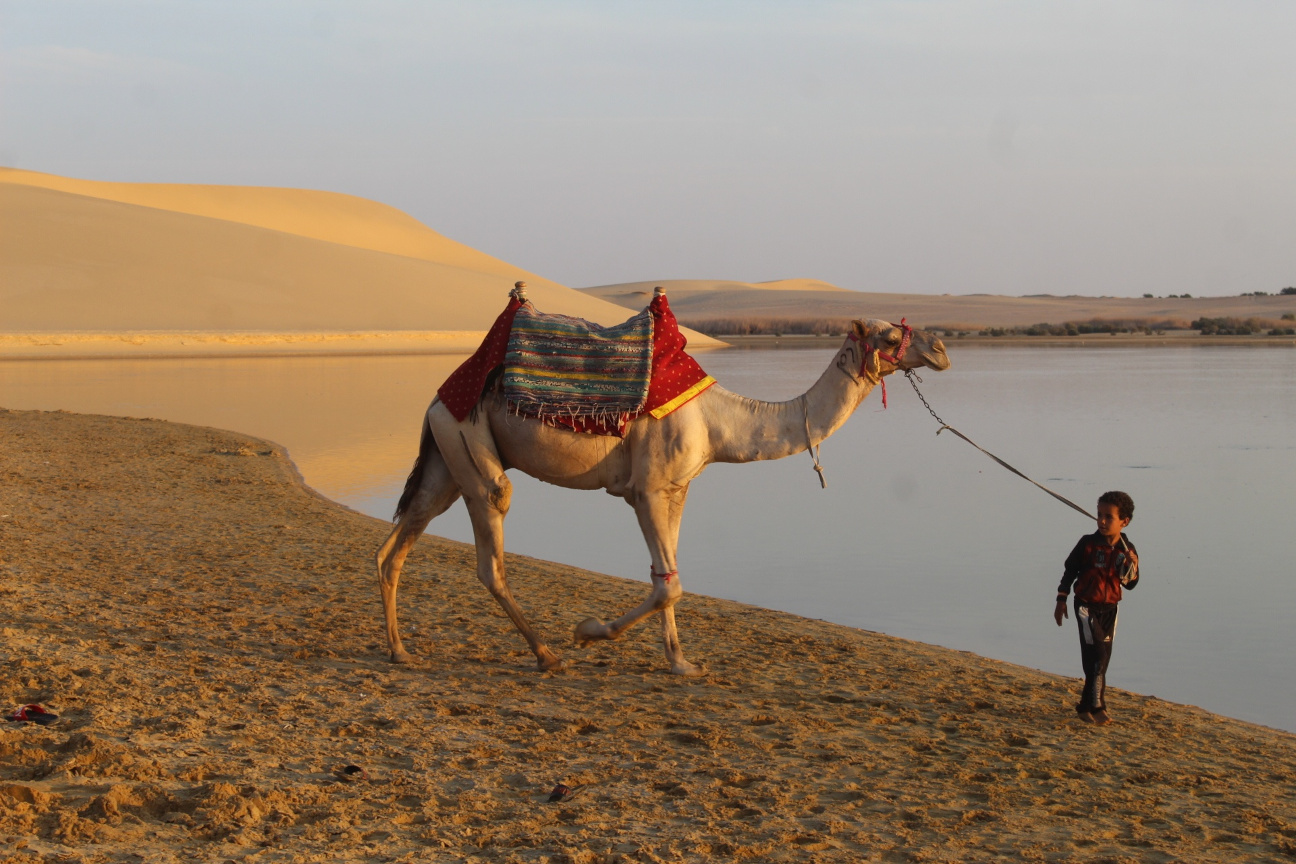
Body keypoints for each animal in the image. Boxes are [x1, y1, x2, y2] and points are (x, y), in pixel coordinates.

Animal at [375, 294, 953, 678]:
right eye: (890, 336)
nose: (942, 346)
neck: (719, 421)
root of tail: (437, 397)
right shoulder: (647, 489)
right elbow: (668, 583)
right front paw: (588, 632)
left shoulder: (677, 488)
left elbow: (668, 574)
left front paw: (681, 662)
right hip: (469, 442)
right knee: (490, 545)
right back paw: (546, 653)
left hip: (445, 457)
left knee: (400, 538)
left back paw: (400, 650)